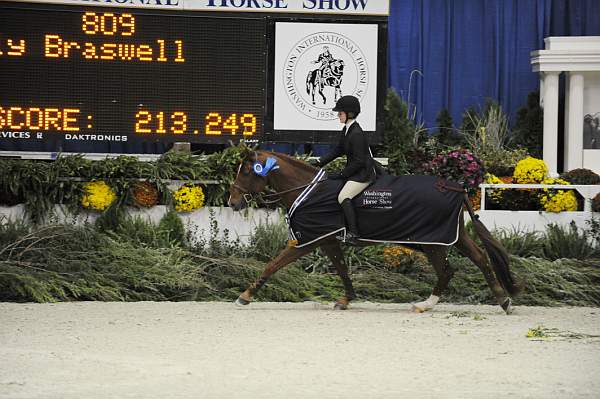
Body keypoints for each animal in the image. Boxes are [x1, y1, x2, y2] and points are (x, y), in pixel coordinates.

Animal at [227, 151, 524, 316]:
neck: (307, 190)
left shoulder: (309, 240)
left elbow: (273, 264)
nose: (232, 202)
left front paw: (245, 296)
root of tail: (456, 187)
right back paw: (501, 301)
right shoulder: (327, 240)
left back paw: (428, 305)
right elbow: (342, 268)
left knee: (452, 269)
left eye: (246, 172)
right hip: (450, 237)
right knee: (476, 261)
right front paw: (346, 299)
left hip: (433, 242)